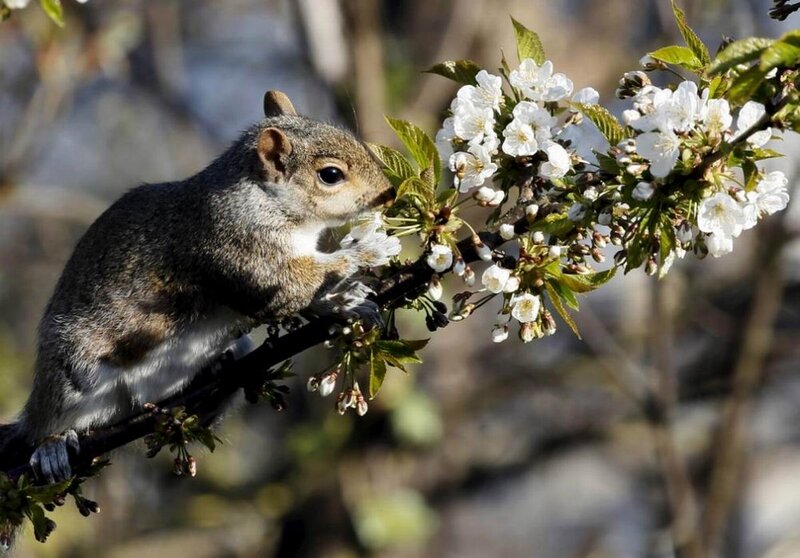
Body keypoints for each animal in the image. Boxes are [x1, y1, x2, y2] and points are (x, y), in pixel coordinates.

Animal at [0, 90, 398, 484]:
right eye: (330, 175)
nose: (389, 194)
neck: (263, 198)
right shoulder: (236, 247)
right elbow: (289, 286)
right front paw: (367, 250)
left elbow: (304, 297)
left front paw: (347, 305)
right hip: (73, 370)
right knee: (47, 422)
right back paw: (52, 446)